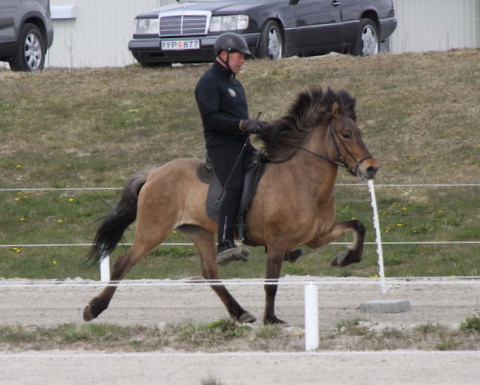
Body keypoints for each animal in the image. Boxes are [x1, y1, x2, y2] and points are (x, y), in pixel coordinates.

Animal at [84, 87, 380, 324]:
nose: (371, 168)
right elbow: (271, 283)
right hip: (153, 230)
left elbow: (359, 226)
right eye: (346, 135)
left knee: (210, 273)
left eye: (359, 133)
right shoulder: (277, 242)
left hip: (200, 232)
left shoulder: (317, 236)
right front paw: (271, 319)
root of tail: (154, 173)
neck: (301, 178)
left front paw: (346, 257)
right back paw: (94, 309)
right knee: (124, 263)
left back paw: (240, 313)